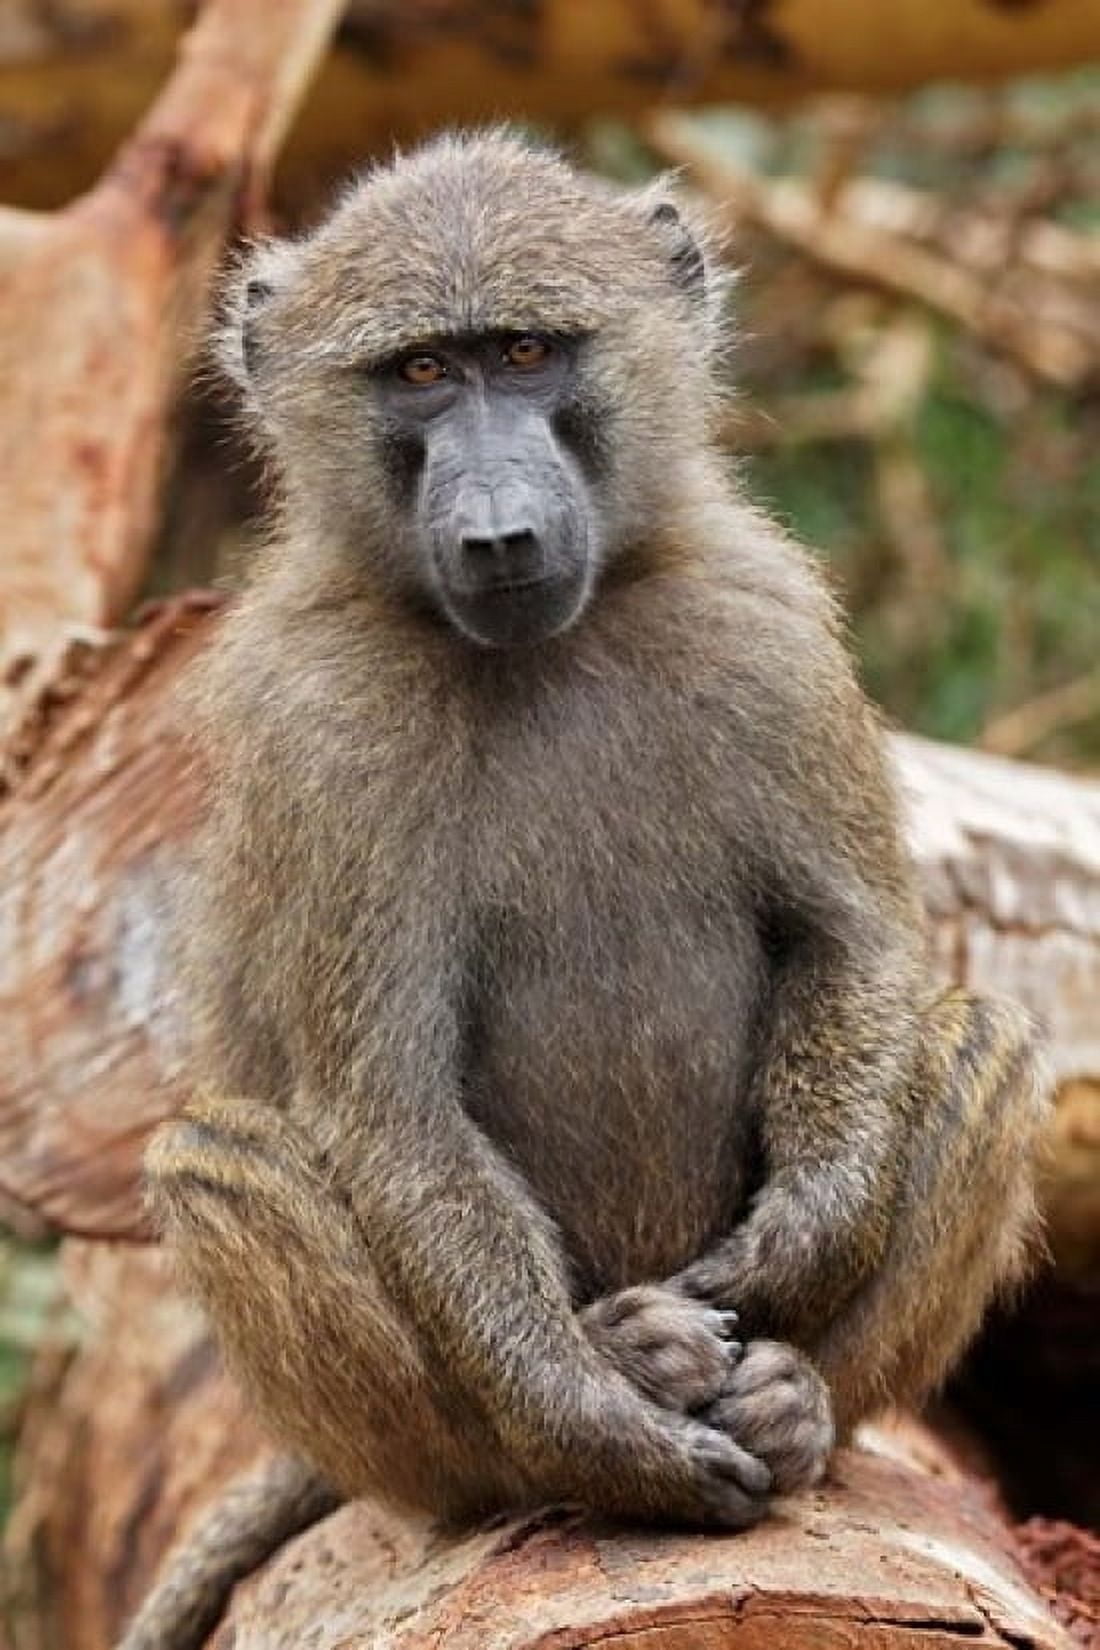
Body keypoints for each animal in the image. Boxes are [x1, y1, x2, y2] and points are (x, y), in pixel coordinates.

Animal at [118, 131, 1048, 1650]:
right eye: (421, 372)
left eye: (528, 350)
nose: (498, 532)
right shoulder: (320, 730)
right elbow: (393, 1111)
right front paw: (607, 1434)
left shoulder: (765, 627)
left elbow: (855, 947)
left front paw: (793, 1245)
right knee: (221, 1163)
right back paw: (592, 1401)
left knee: (988, 1042)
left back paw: (799, 1402)